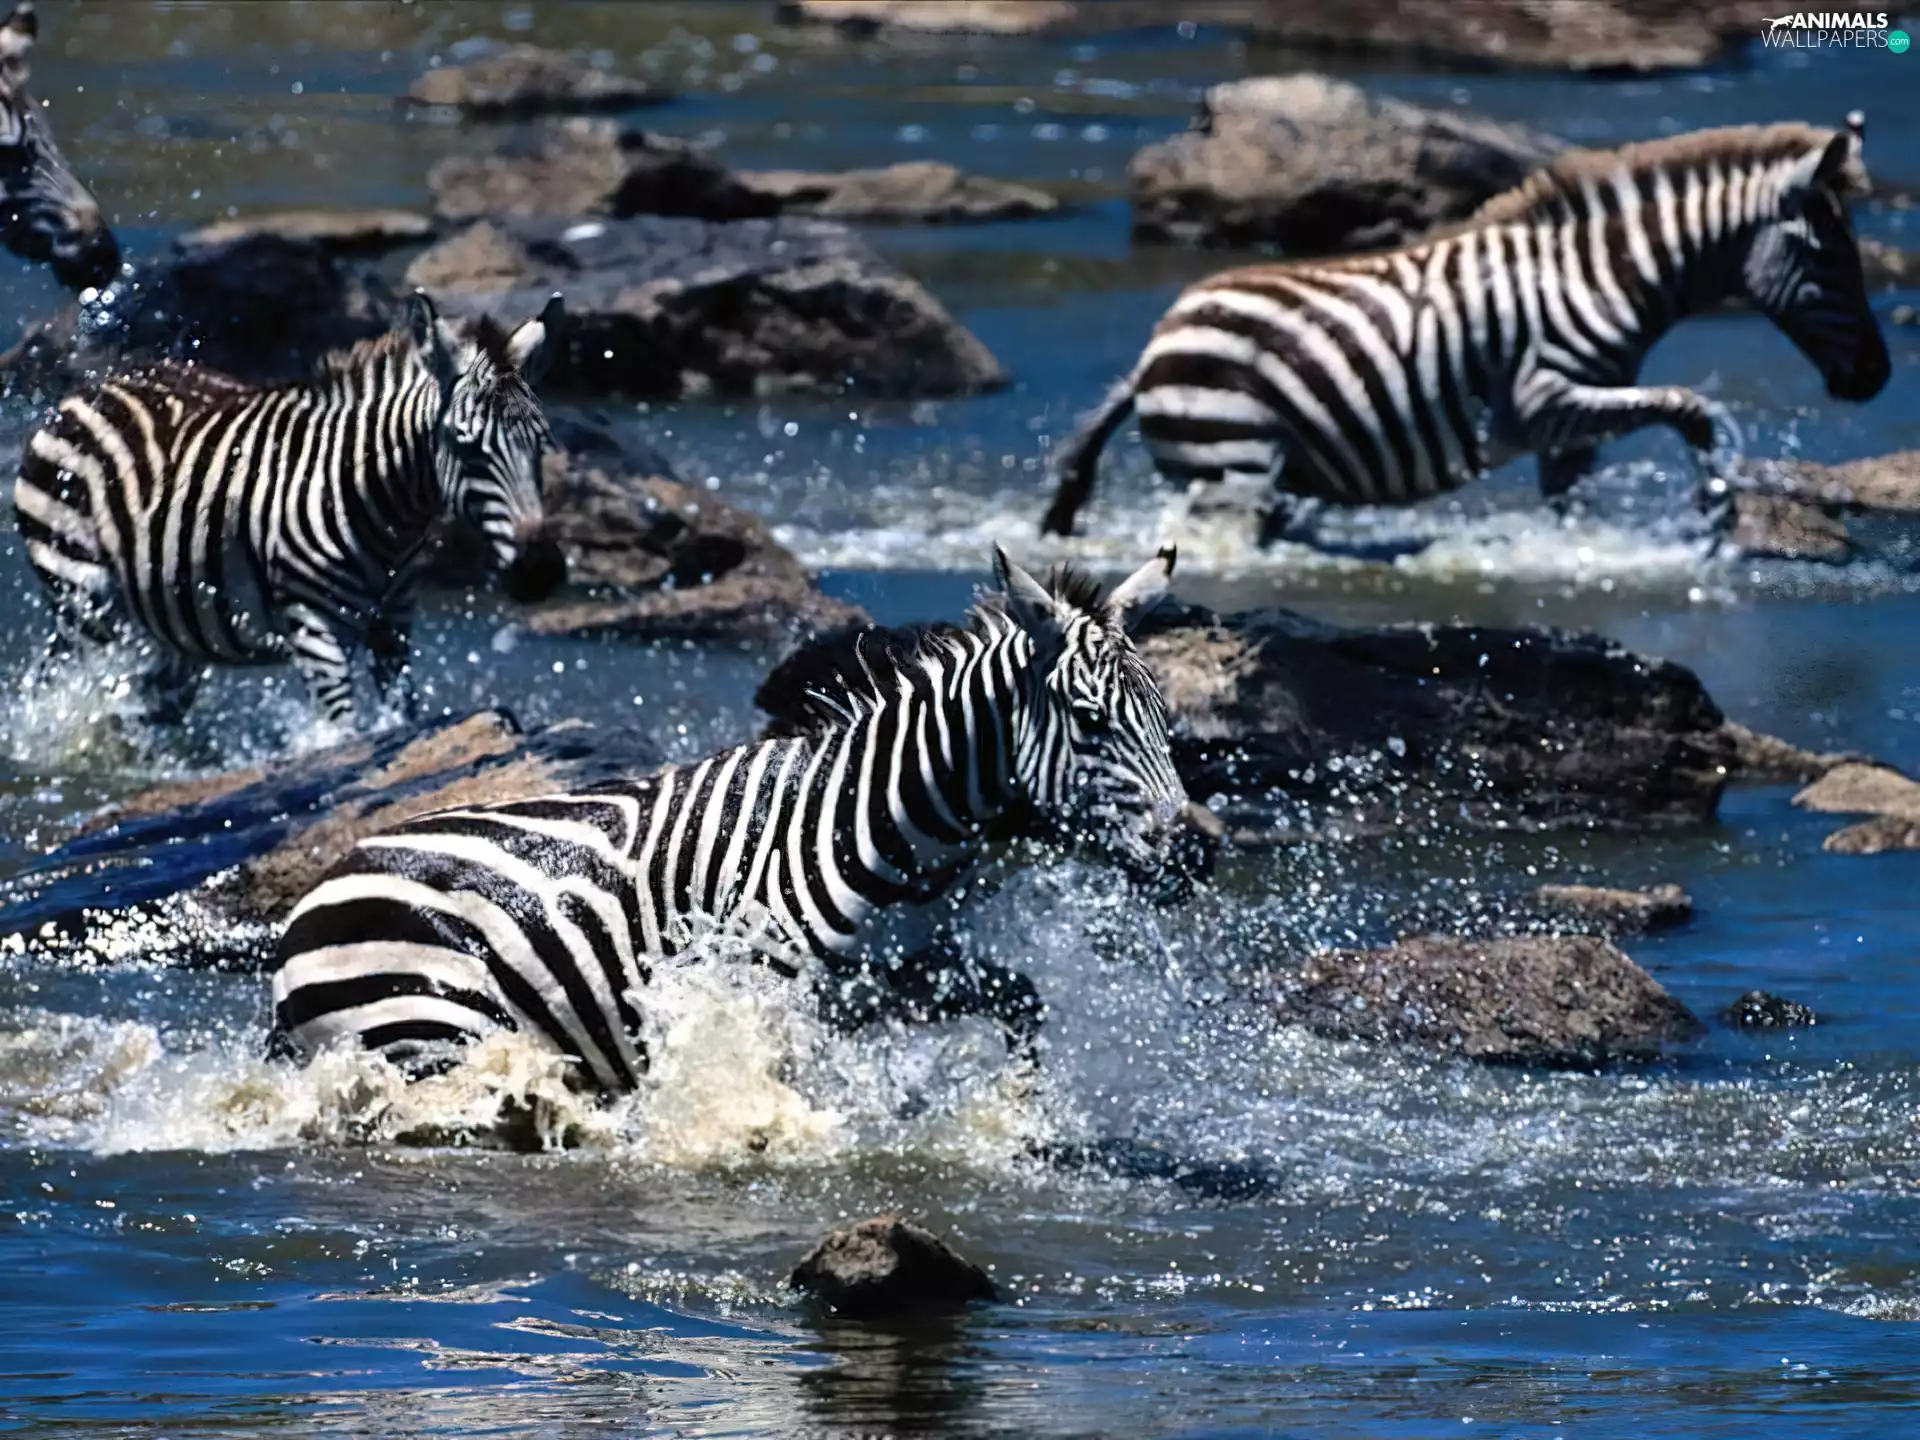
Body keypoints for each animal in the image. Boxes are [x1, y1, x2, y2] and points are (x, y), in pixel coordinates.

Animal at [14, 291, 568, 725]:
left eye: (542, 444)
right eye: (465, 446)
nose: (540, 572)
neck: (374, 504)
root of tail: (90, 388)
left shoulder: (393, 624)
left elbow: (403, 716)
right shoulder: (313, 627)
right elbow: (343, 732)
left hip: (171, 617)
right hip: (84, 602)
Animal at [269, 547, 1190, 1095]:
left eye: (1164, 719)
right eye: (1090, 720)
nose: (1192, 858)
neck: (882, 823)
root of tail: (321, 885)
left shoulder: (901, 974)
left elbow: (1021, 1003)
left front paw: (1013, 1110)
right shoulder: (763, 991)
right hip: (426, 1036)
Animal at [1041, 117, 1890, 541]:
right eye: (1832, 258)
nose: (1879, 378)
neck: (1605, 276)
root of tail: (1152, 348)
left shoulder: (1570, 429)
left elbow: (1571, 505)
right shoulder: (1543, 402)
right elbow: (1693, 408)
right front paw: (1714, 506)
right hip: (1230, 463)